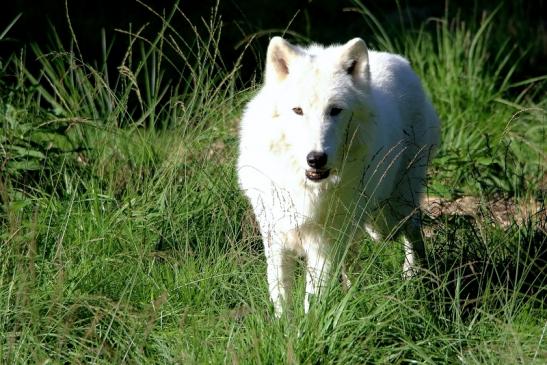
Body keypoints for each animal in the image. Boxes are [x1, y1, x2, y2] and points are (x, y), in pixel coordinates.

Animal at [239, 37, 440, 316]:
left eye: (335, 111)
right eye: (298, 110)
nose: (316, 158)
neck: (307, 188)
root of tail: (400, 60)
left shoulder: (323, 245)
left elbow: (313, 301)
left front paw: (308, 328)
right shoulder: (275, 237)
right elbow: (281, 296)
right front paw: (285, 327)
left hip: (391, 213)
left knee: (413, 227)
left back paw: (414, 277)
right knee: (354, 258)